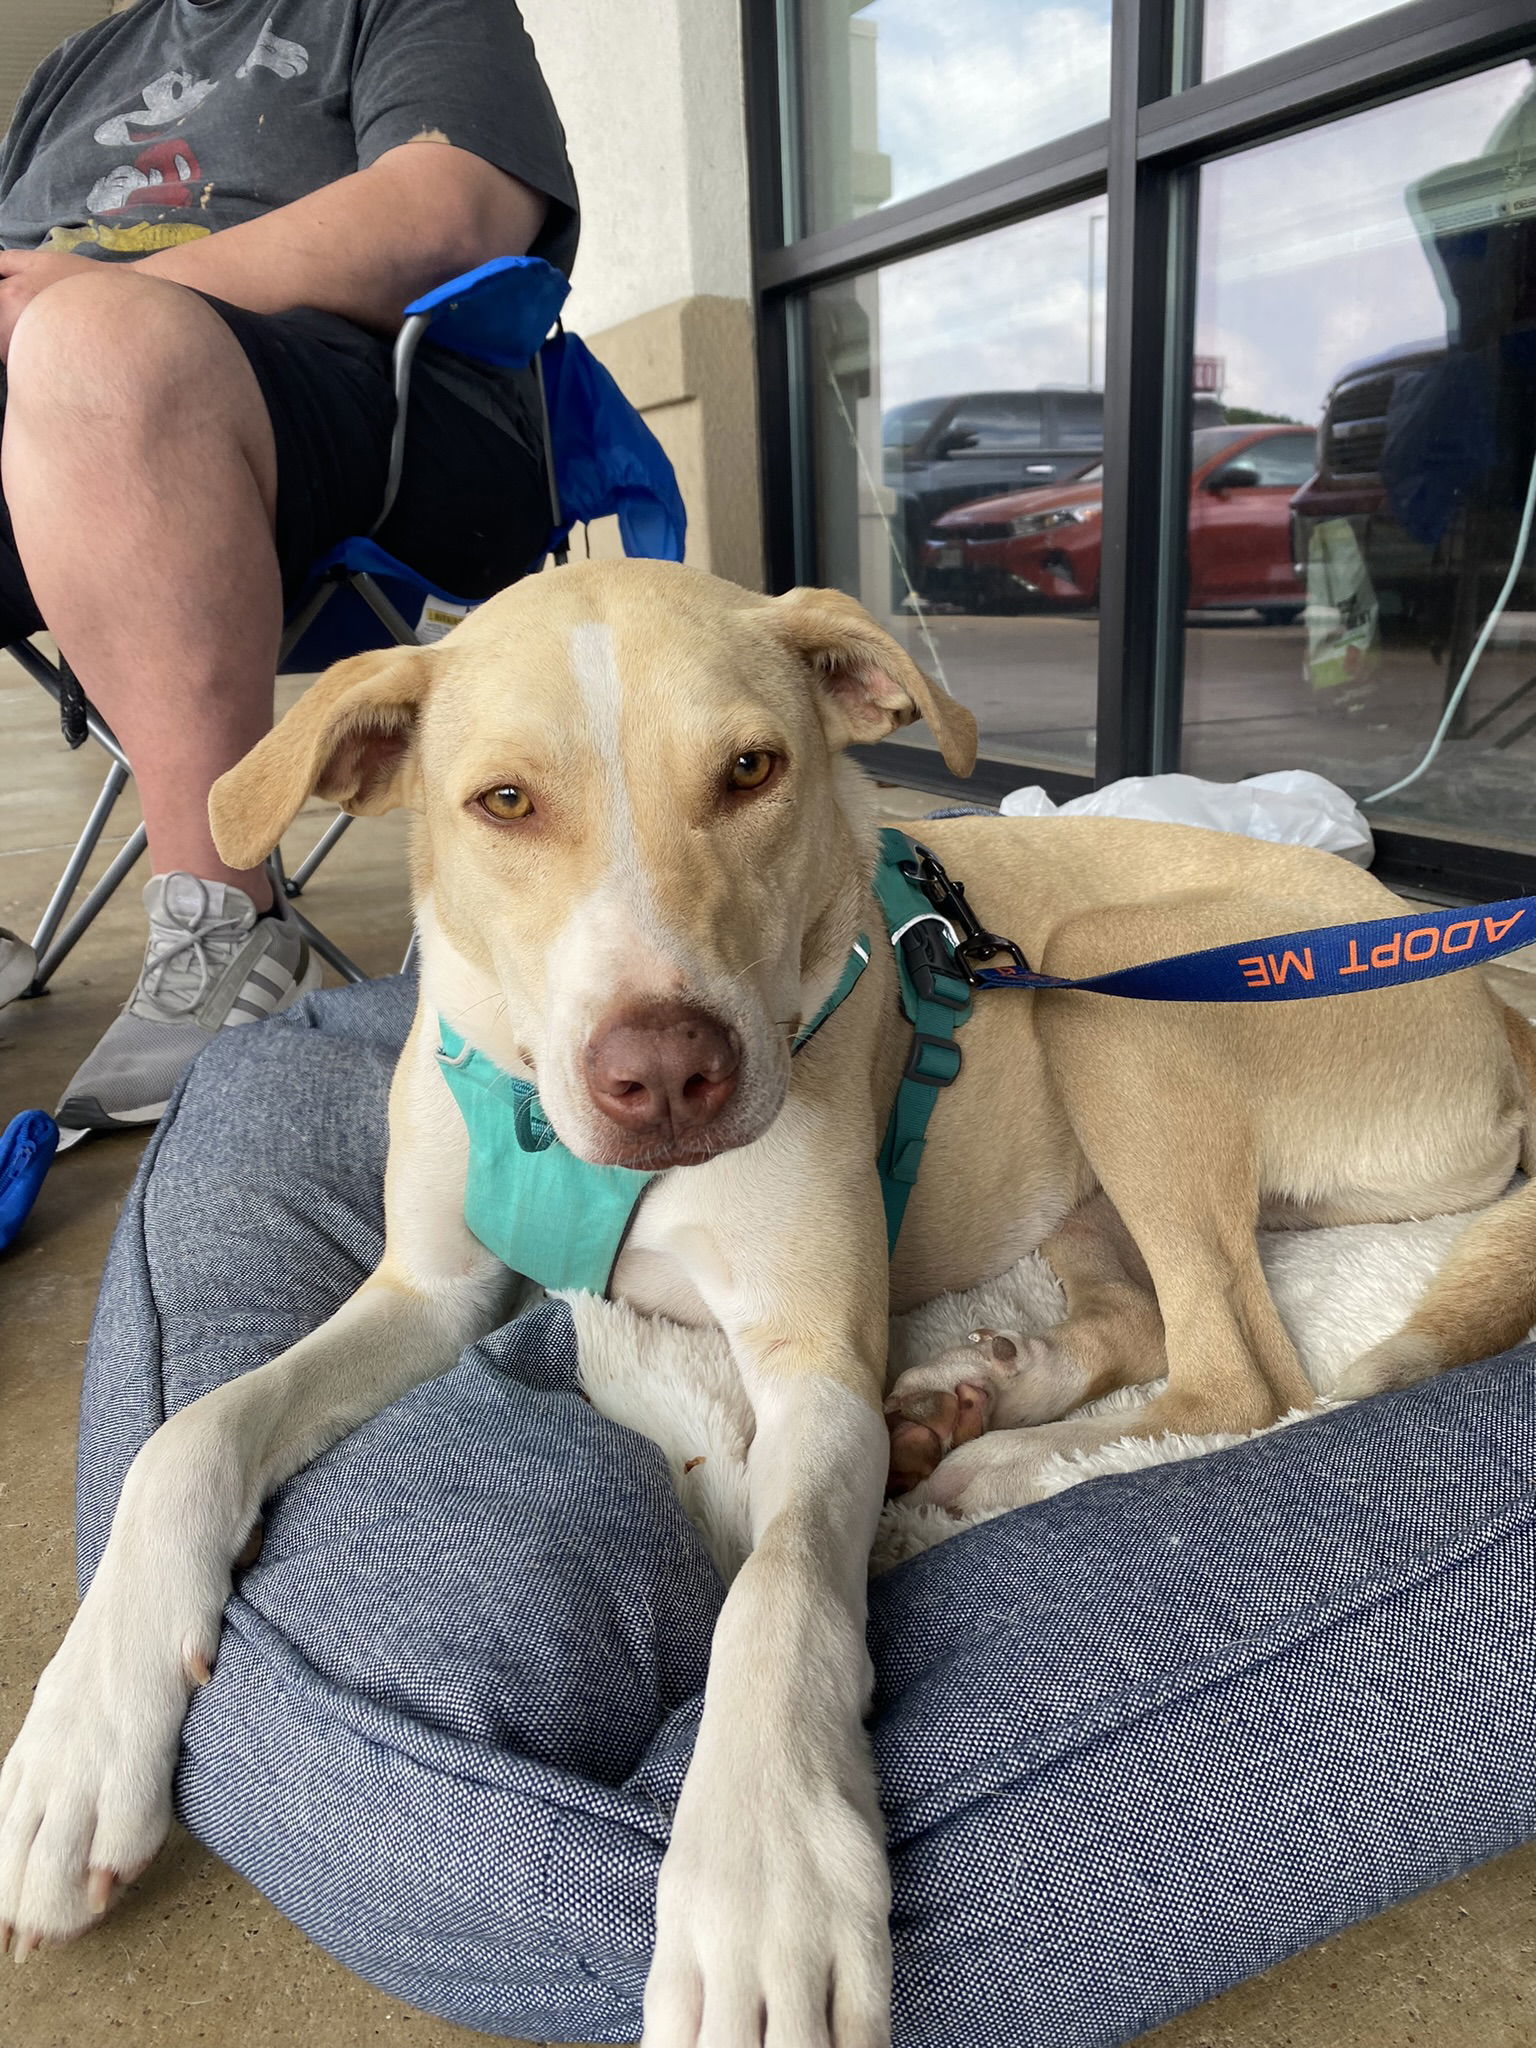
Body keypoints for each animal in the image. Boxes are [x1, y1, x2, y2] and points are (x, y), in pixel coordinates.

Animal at [3, 561, 1536, 2048]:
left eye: (751, 769)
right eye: (504, 802)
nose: (666, 1074)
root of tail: (1484, 983)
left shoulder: (813, 1367)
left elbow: (782, 1586)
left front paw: (762, 1880)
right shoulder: (430, 1291)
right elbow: (189, 1433)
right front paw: (81, 1737)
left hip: (1121, 989)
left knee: (1245, 1373)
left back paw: (991, 1468)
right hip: (1086, 1143)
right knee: (1152, 1327)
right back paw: (979, 1400)